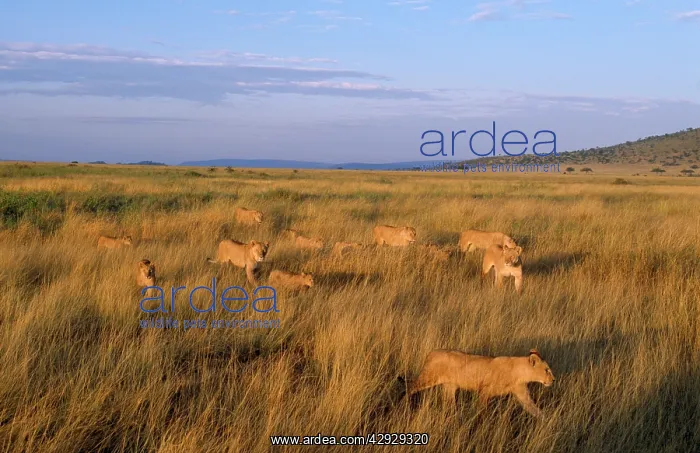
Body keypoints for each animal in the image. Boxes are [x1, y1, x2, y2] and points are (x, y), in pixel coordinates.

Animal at [407, 348, 555, 418]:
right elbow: (482, 411)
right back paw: (406, 406)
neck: (520, 373)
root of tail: (432, 352)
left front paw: (549, 424)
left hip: (449, 386)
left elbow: (535, 410)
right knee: (410, 388)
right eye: (547, 370)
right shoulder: (484, 391)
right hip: (427, 379)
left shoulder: (522, 395)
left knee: (449, 403)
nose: (553, 380)